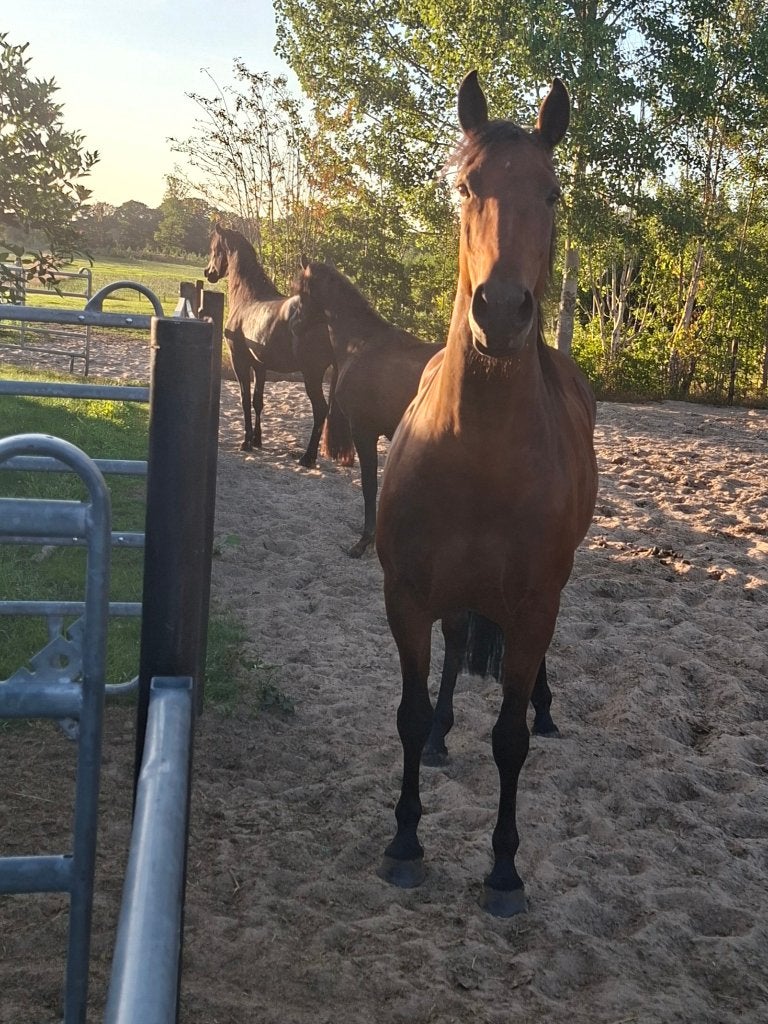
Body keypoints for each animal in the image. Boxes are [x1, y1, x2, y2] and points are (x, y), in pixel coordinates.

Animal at [204, 224, 336, 467]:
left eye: (215, 249)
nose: (208, 273)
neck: (248, 298)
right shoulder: (260, 366)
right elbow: (258, 401)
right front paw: (257, 440)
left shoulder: (240, 361)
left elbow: (245, 400)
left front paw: (246, 442)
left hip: (312, 374)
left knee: (320, 409)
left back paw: (308, 457)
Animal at [294, 259, 442, 556]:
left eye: (301, 290)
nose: (293, 324)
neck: (361, 343)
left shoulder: (364, 432)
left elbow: (369, 486)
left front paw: (364, 541)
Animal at [375, 72, 598, 916]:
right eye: (467, 186)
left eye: (554, 190)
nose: (501, 313)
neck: (478, 456)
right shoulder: (405, 595)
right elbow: (408, 714)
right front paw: (404, 841)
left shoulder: (534, 605)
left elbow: (508, 739)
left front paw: (504, 870)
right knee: (449, 655)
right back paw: (445, 731)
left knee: (525, 689)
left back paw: (546, 707)